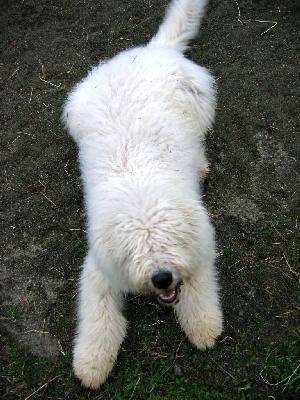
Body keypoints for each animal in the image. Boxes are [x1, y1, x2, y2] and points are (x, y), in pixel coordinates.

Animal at [62, 0, 223, 388]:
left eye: (170, 239)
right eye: (134, 250)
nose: (161, 278)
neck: (140, 190)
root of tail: (153, 50)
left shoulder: (199, 248)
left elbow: (199, 292)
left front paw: (203, 327)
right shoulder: (100, 269)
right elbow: (99, 317)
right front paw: (91, 364)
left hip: (200, 108)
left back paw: (200, 165)